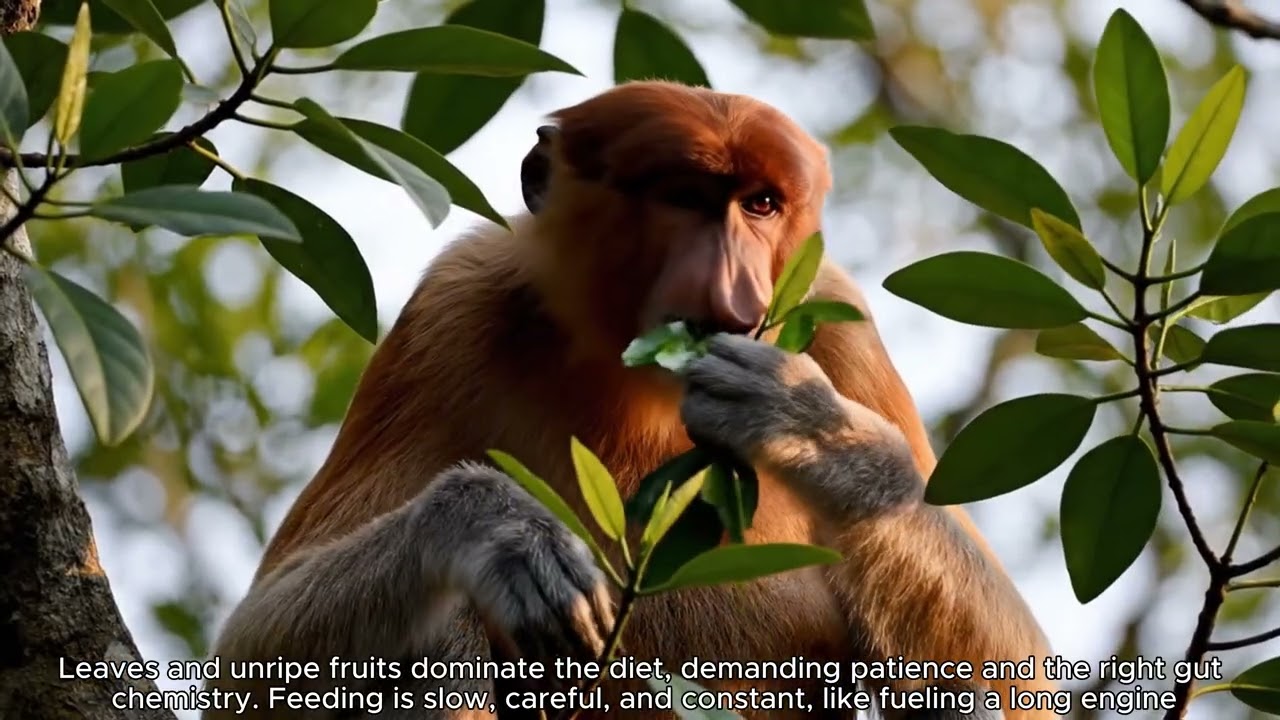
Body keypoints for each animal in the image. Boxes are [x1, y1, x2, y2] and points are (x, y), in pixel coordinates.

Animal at [203, 81, 1054, 720]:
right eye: (686, 198)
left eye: (762, 205)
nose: (734, 284)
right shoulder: (447, 310)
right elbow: (247, 664)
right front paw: (502, 532)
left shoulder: (840, 324)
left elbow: (1012, 681)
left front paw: (803, 424)